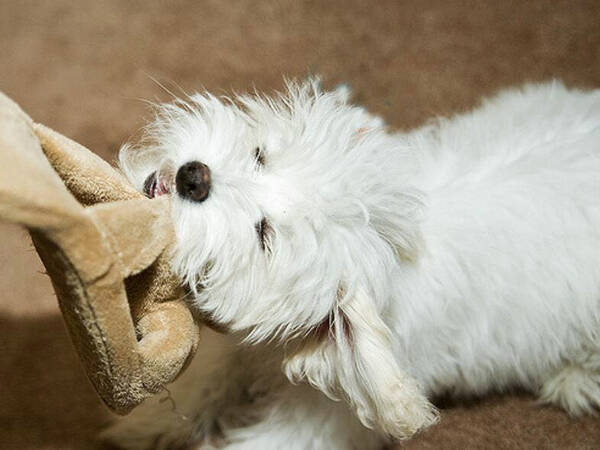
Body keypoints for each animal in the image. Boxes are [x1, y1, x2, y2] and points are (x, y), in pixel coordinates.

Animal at [103, 81, 600, 450]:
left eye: (264, 234)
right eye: (261, 155)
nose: (194, 176)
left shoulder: (322, 419)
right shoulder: (244, 348)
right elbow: (209, 375)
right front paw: (149, 424)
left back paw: (571, 379)